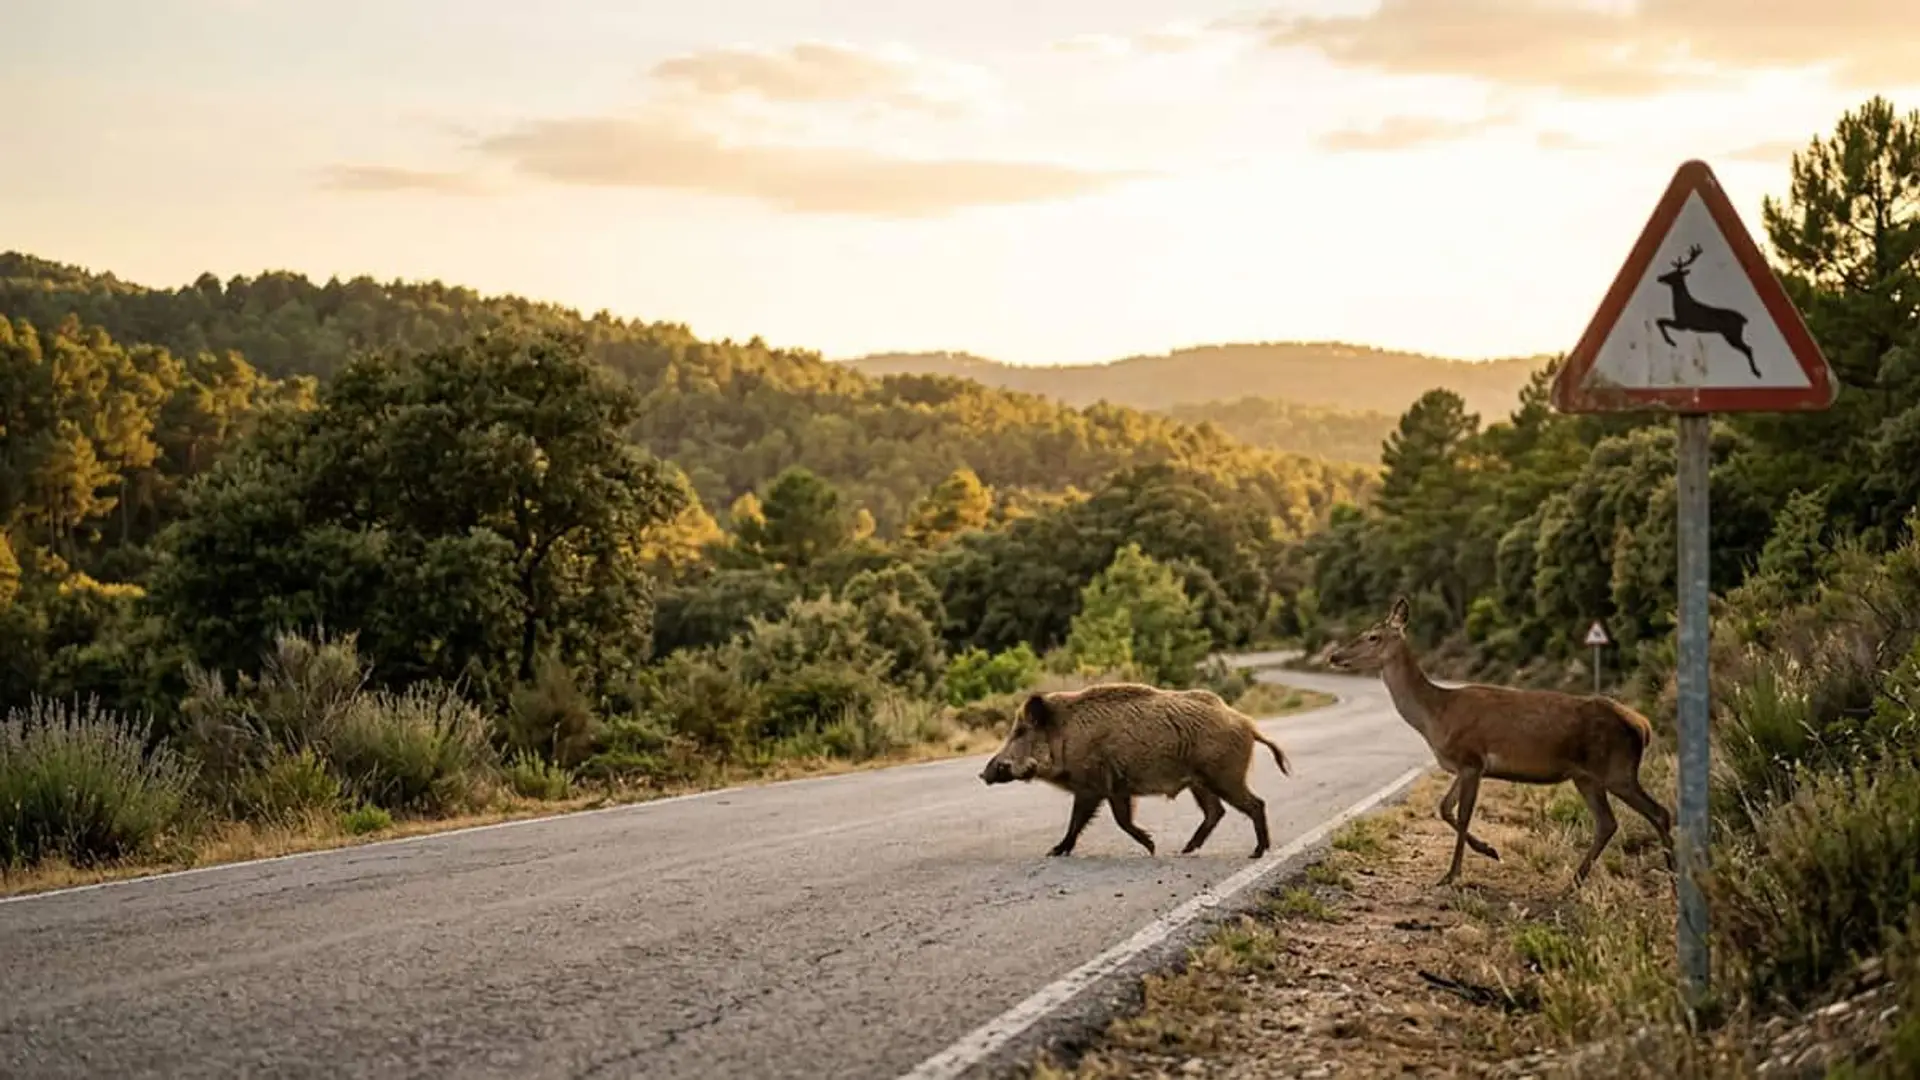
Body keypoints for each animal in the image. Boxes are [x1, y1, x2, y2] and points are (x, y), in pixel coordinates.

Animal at [1325, 597, 1675, 887]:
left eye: (1373, 636)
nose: (1334, 656)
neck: (1436, 715)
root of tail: (1642, 725)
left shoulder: (1472, 759)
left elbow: (1462, 814)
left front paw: (1452, 874)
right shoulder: (1464, 765)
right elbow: (1444, 808)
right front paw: (1489, 850)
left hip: (1617, 768)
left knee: (1658, 813)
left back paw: (1671, 880)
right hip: (1586, 776)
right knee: (1607, 823)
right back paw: (1573, 883)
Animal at [1655, 243, 1760, 378]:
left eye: (1673, 274)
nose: (1659, 277)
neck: (1681, 304)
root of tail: (1743, 319)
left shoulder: (1684, 324)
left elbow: (1660, 321)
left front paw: (1671, 342)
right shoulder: (1681, 323)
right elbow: (1660, 321)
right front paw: (1671, 341)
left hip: (1733, 334)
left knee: (1748, 349)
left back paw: (1756, 372)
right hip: (1732, 335)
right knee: (1748, 348)